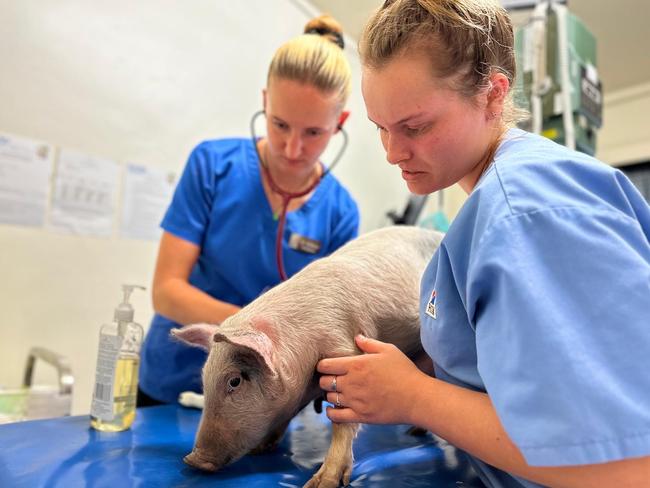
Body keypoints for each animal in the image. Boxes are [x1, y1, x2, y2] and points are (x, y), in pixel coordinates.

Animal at [170, 226, 442, 488]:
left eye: (235, 381)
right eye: (204, 379)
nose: (192, 460)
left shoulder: (345, 347)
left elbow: (343, 420)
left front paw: (321, 483)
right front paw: (261, 448)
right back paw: (413, 433)